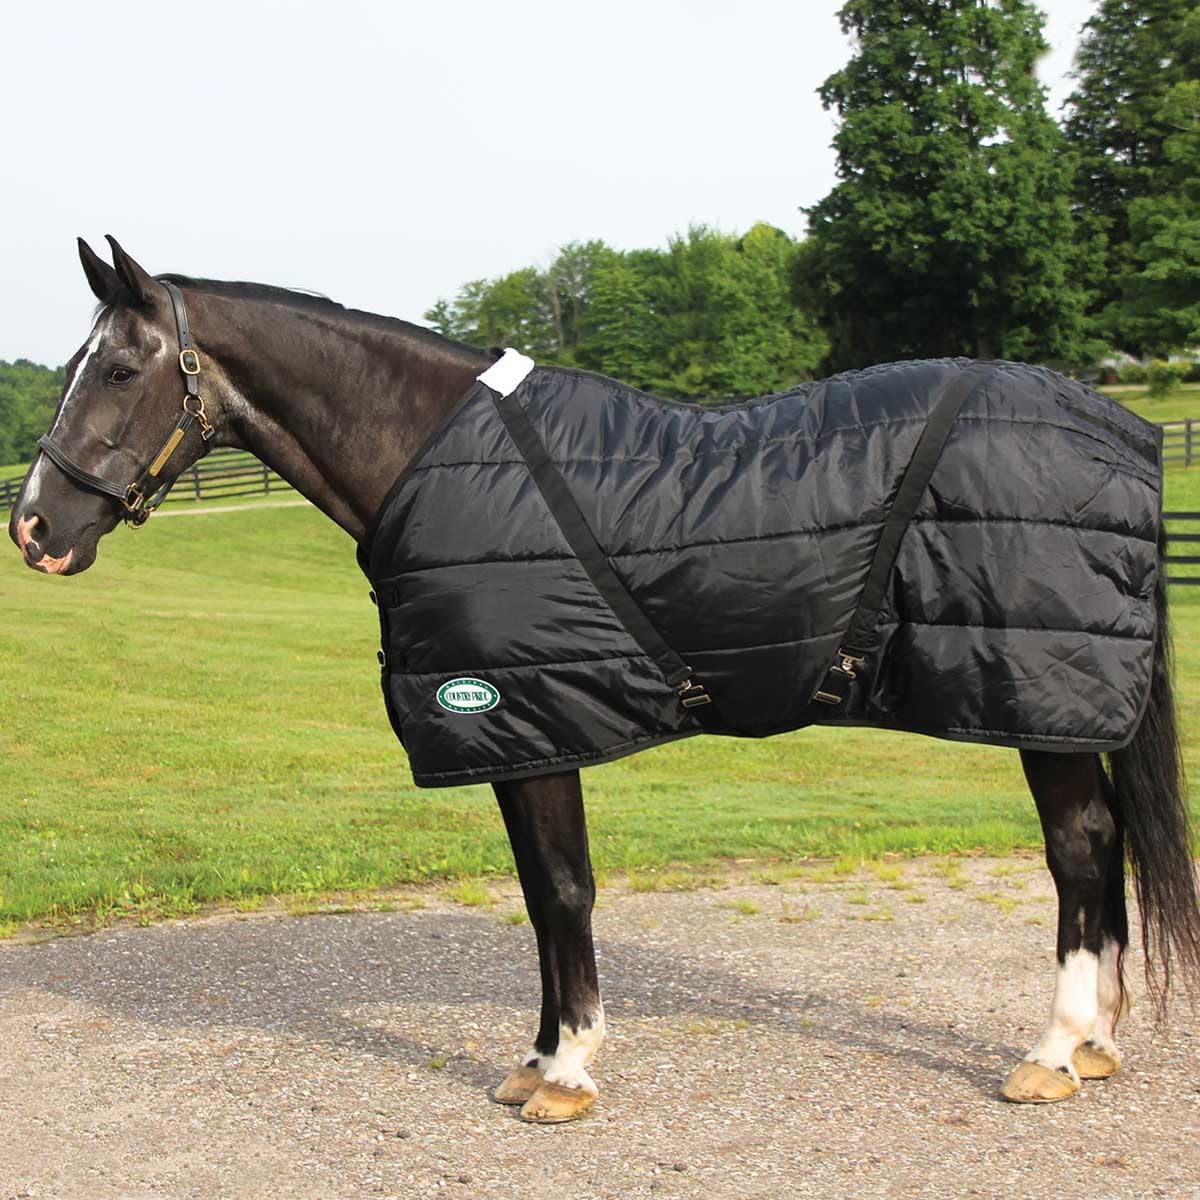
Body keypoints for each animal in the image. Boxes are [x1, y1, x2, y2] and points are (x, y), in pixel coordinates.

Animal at [9, 237, 1199, 1124]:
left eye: (119, 370)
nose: (34, 529)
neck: (435, 457)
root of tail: (1125, 428)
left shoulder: (533, 723)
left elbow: (562, 891)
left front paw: (569, 1070)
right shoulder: (521, 727)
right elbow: (541, 896)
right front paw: (539, 1060)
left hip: (1036, 702)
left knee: (1079, 847)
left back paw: (1054, 1051)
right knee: (1101, 850)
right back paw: (1094, 1045)